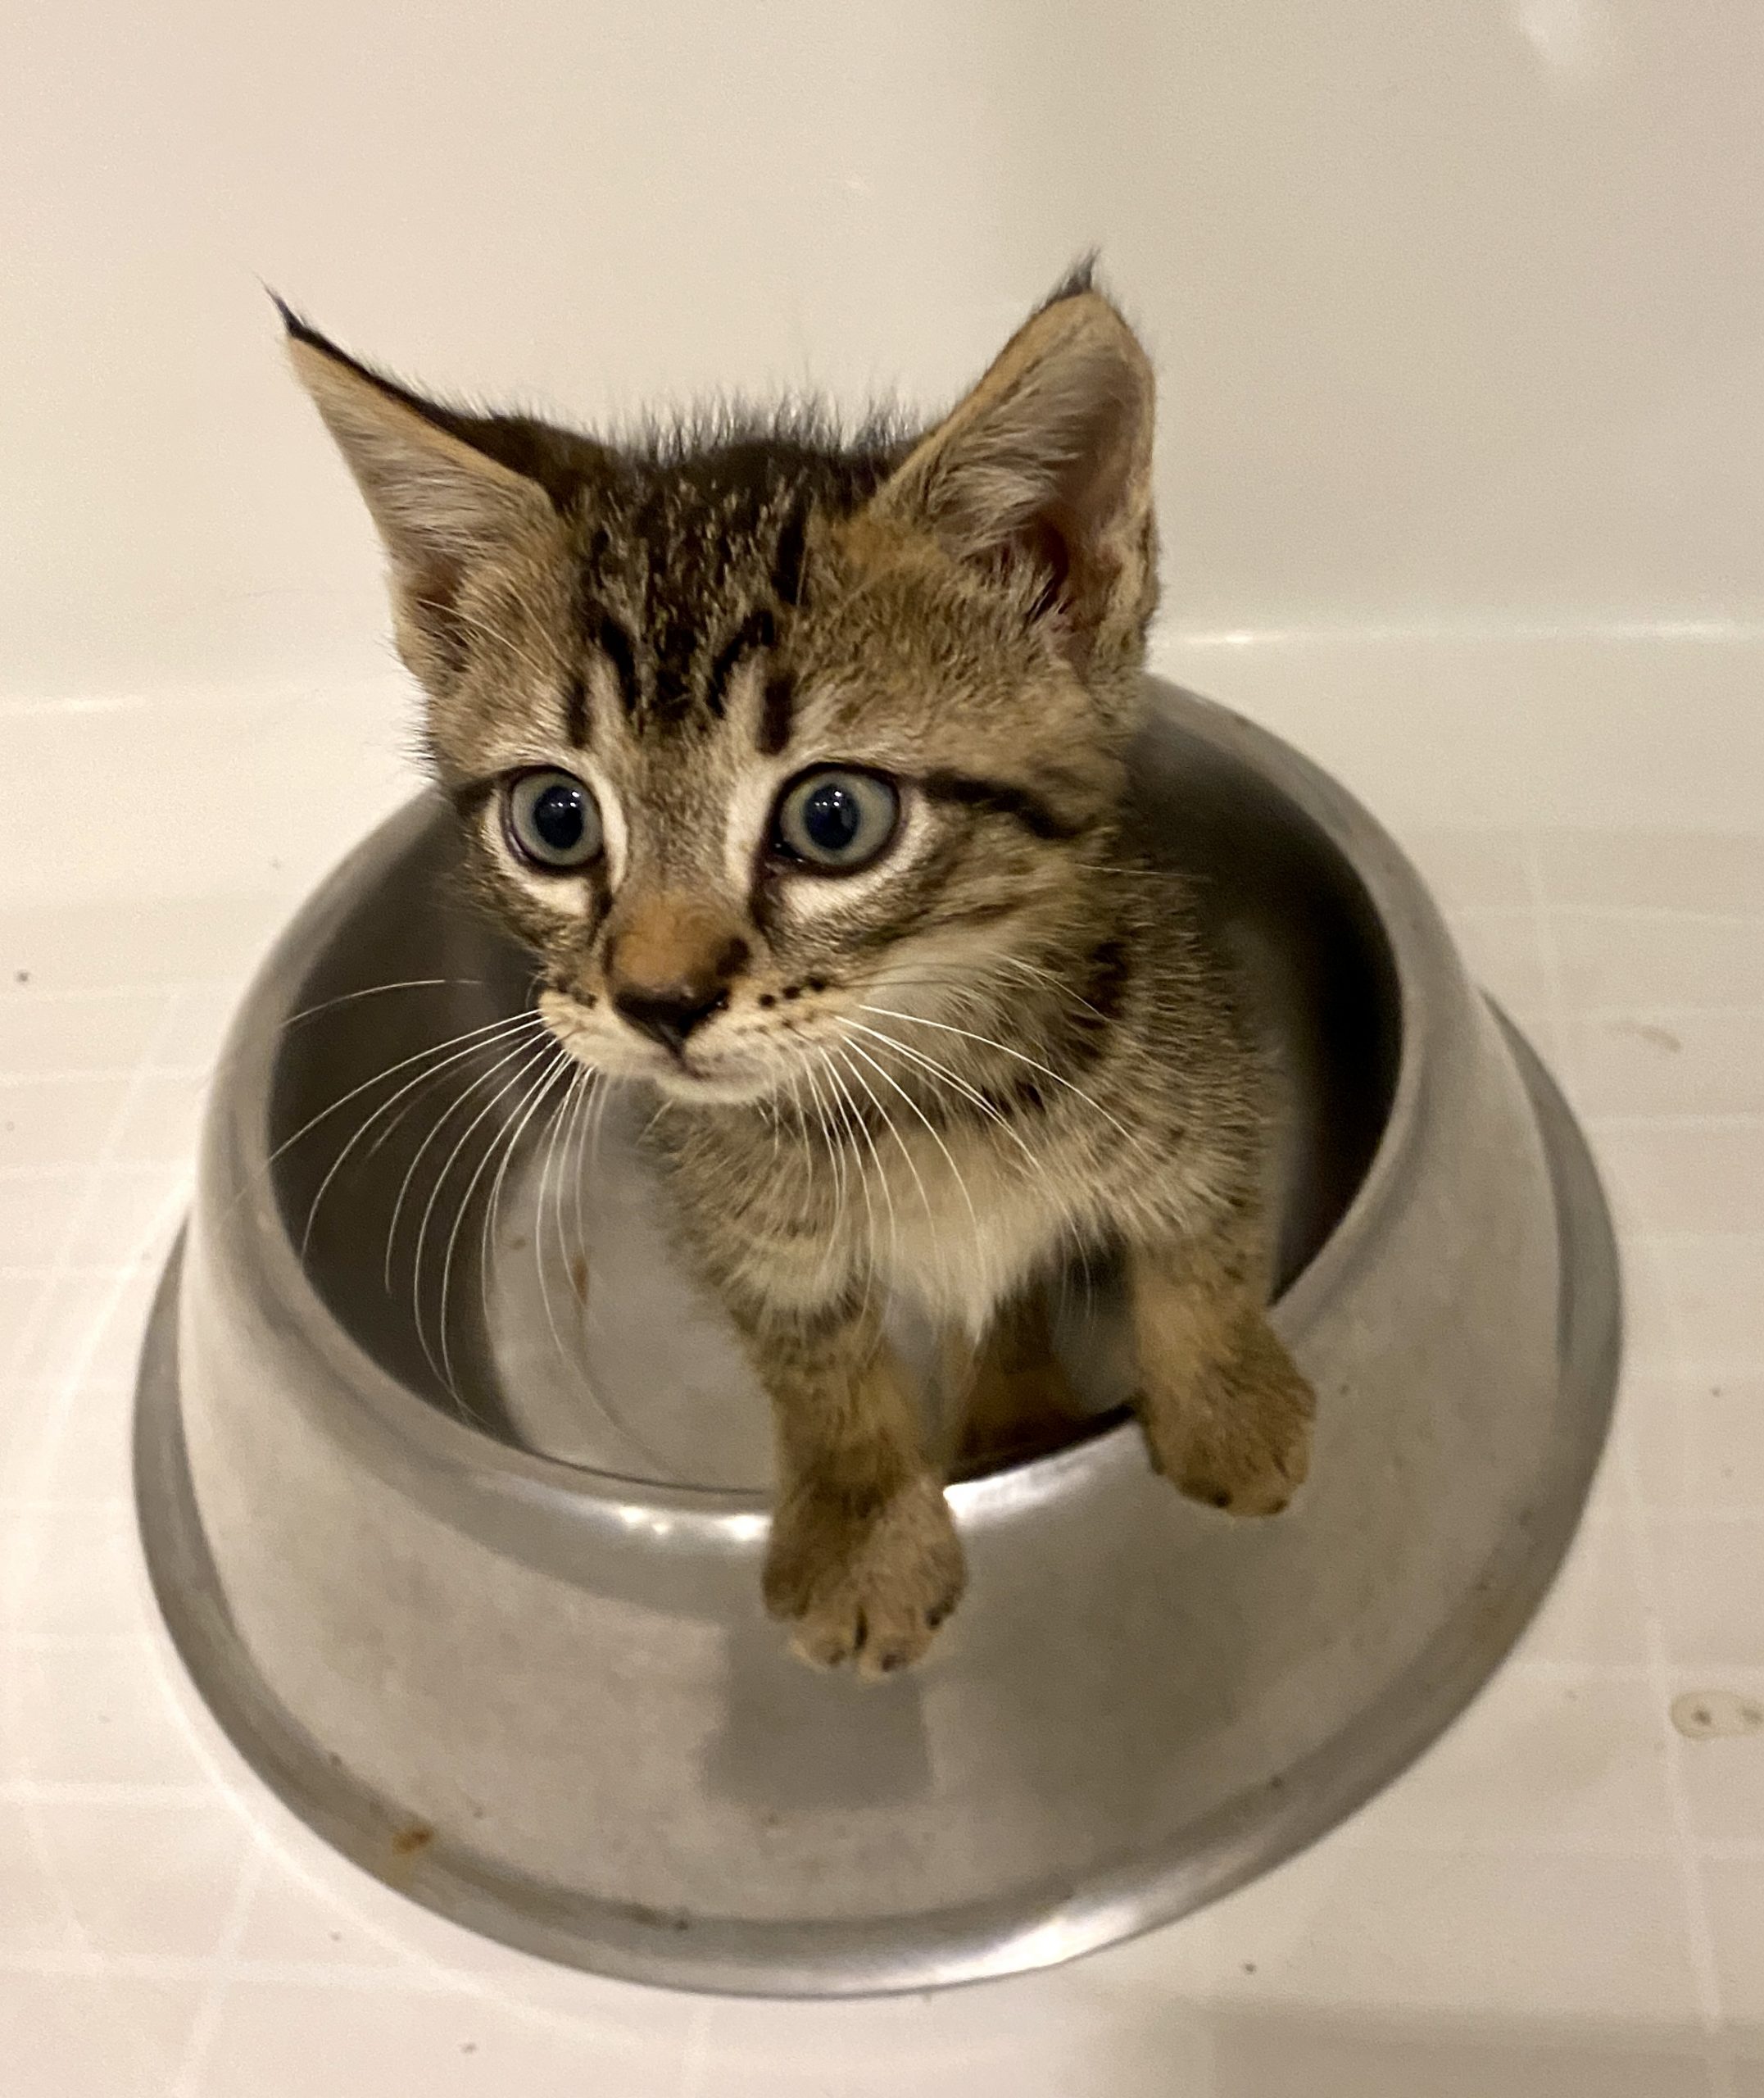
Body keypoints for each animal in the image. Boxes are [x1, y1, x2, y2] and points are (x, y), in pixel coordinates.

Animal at [285, 266, 1308, 1669]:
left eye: (835, 819)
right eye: (556, 818)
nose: (657, 1003)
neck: (922, 1086)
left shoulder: (1189, 1070)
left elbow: (1199, 1245)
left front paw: (1228, 1409)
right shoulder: (750, 1232)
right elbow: (820, 1369)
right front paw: (864, 1532)